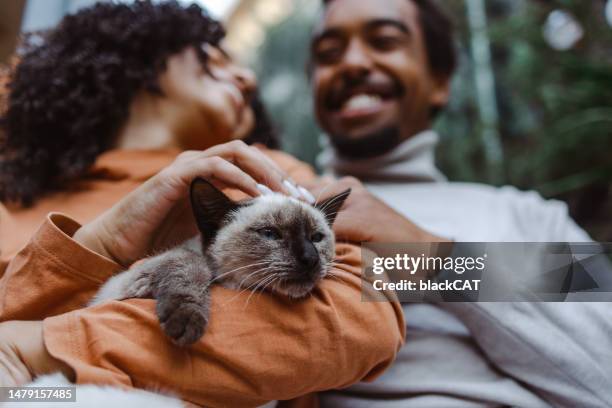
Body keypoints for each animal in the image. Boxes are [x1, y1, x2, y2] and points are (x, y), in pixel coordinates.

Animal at [90, 177, 350, 346]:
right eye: (270, 234)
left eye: (316, 238)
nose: (310, 259)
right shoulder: (128, 280)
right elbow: (191, 263)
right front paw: (186, 320)